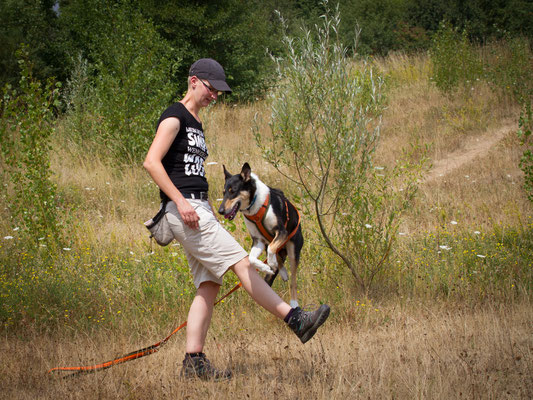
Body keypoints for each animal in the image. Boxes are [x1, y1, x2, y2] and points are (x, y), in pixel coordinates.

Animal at [216, 162, 302, 306]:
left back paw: (294, 302)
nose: (220, 211)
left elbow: (272, 250)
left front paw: (270, 263)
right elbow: (251, 259)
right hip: (271, 244)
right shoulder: (258, 241)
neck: (254, 208)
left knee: (293, 280)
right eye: (223, 192)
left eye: (233, 191)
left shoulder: (281, 231)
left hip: (292, 250)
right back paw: (282, 272)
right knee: (278, 258)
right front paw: (265, 267)